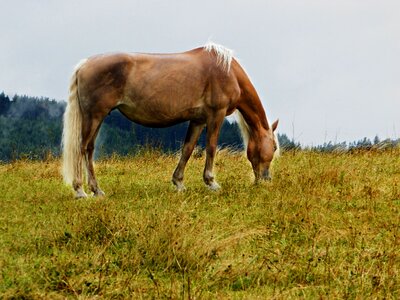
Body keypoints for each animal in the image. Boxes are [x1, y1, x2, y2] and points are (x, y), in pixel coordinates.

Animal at [62, 42, 280, 197]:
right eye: (274, 147)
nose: (266, 180)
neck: (228, 72)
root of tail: (84, 65)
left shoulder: (198, 120)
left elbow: (187, 149)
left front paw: (179, 183)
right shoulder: (215, 116)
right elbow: (211, 148)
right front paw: (211, 182)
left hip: (96, 118)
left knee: (89, 149)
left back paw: (96, 190)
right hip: (94, 116)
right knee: (82, 148)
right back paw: (80, 190)